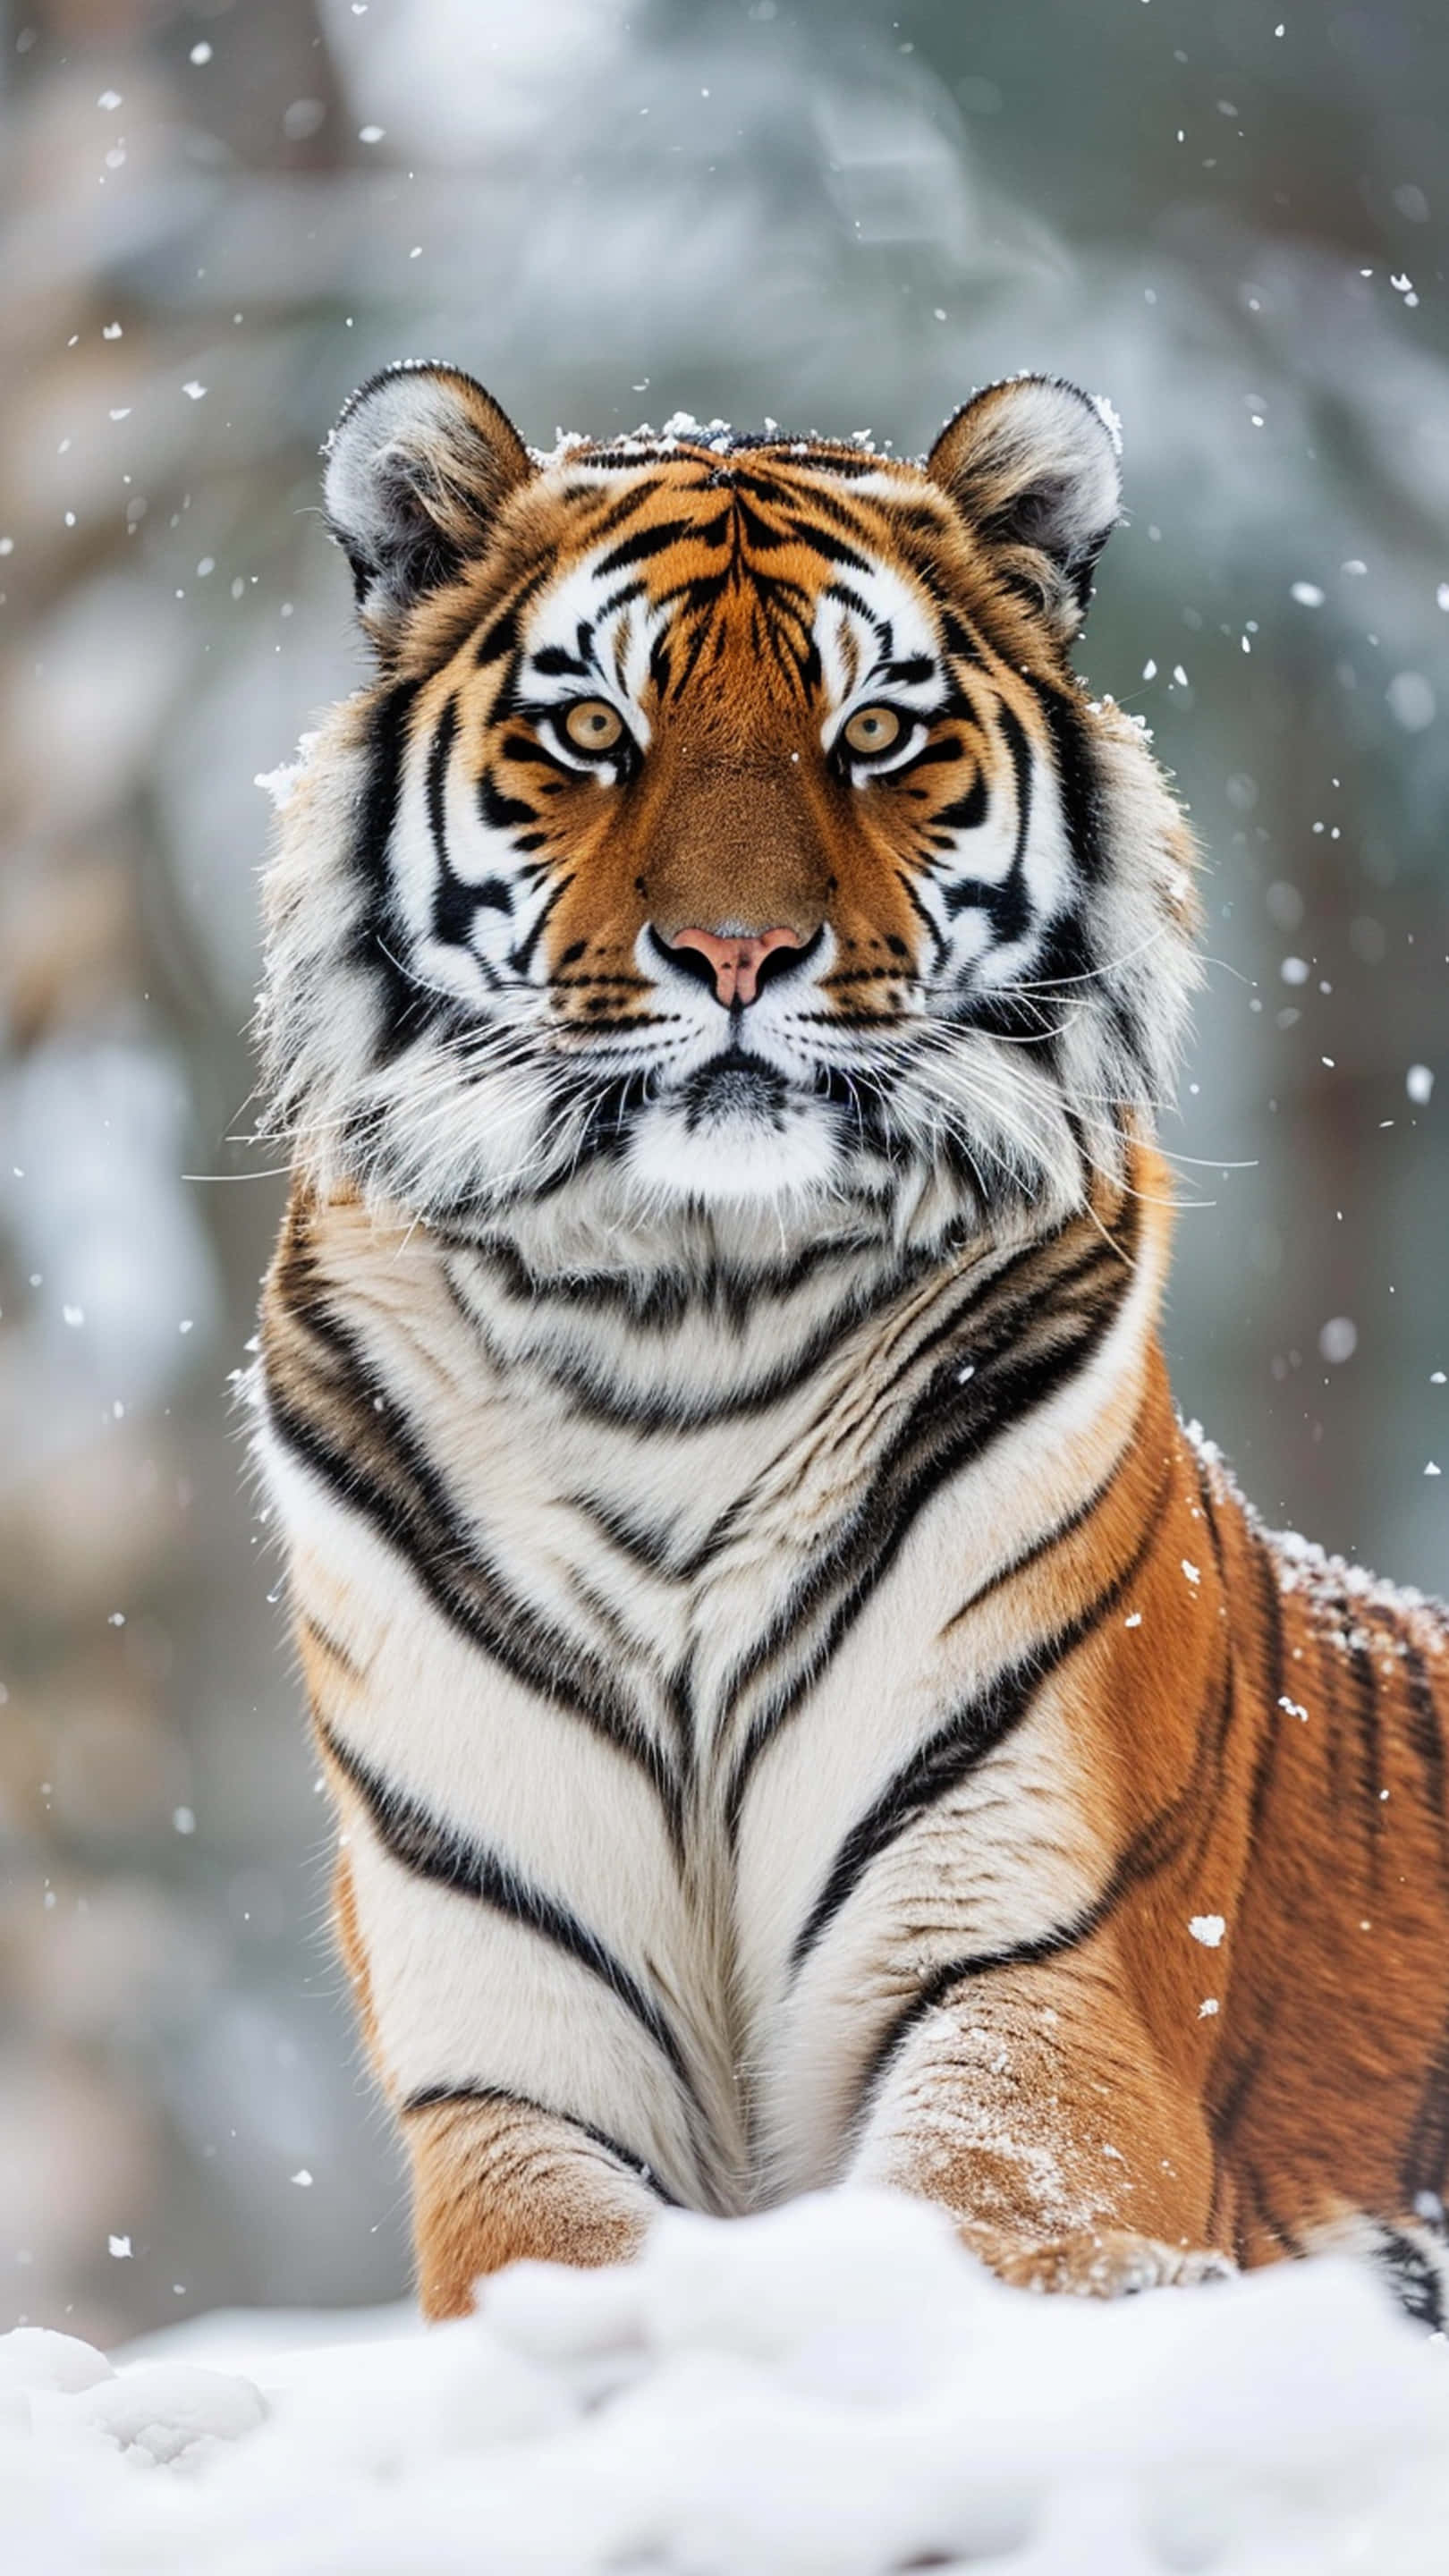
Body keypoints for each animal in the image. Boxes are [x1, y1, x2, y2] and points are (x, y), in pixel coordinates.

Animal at [254, 361, 1449, 2325]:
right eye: (592, 728)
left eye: (877, 731)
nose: (739, 952)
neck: (676, 1325)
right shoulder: (508, 2063)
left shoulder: (1038, 1995)